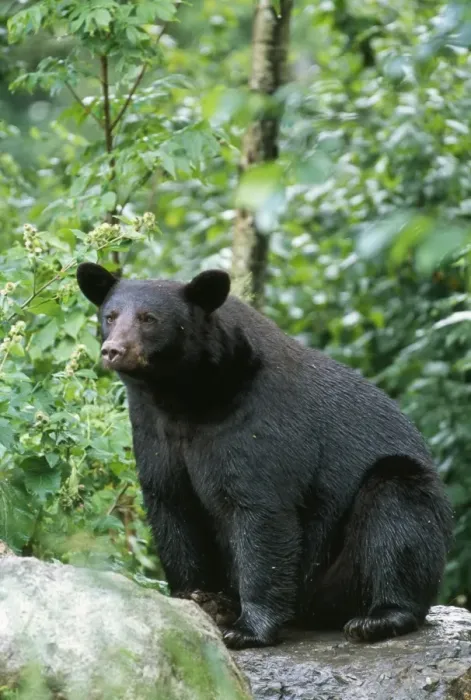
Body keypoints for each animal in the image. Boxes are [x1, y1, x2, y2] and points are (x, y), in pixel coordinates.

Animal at [76, 262, 453, 650]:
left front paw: (248, 629)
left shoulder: (258, 422)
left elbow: (261, 512)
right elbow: (171, 506)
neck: (185, 396)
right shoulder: (154, 432)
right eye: (110, 316)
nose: (113, 350)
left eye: (149, 318)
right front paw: (196, 598)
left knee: (396, 511)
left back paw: (378, 618)